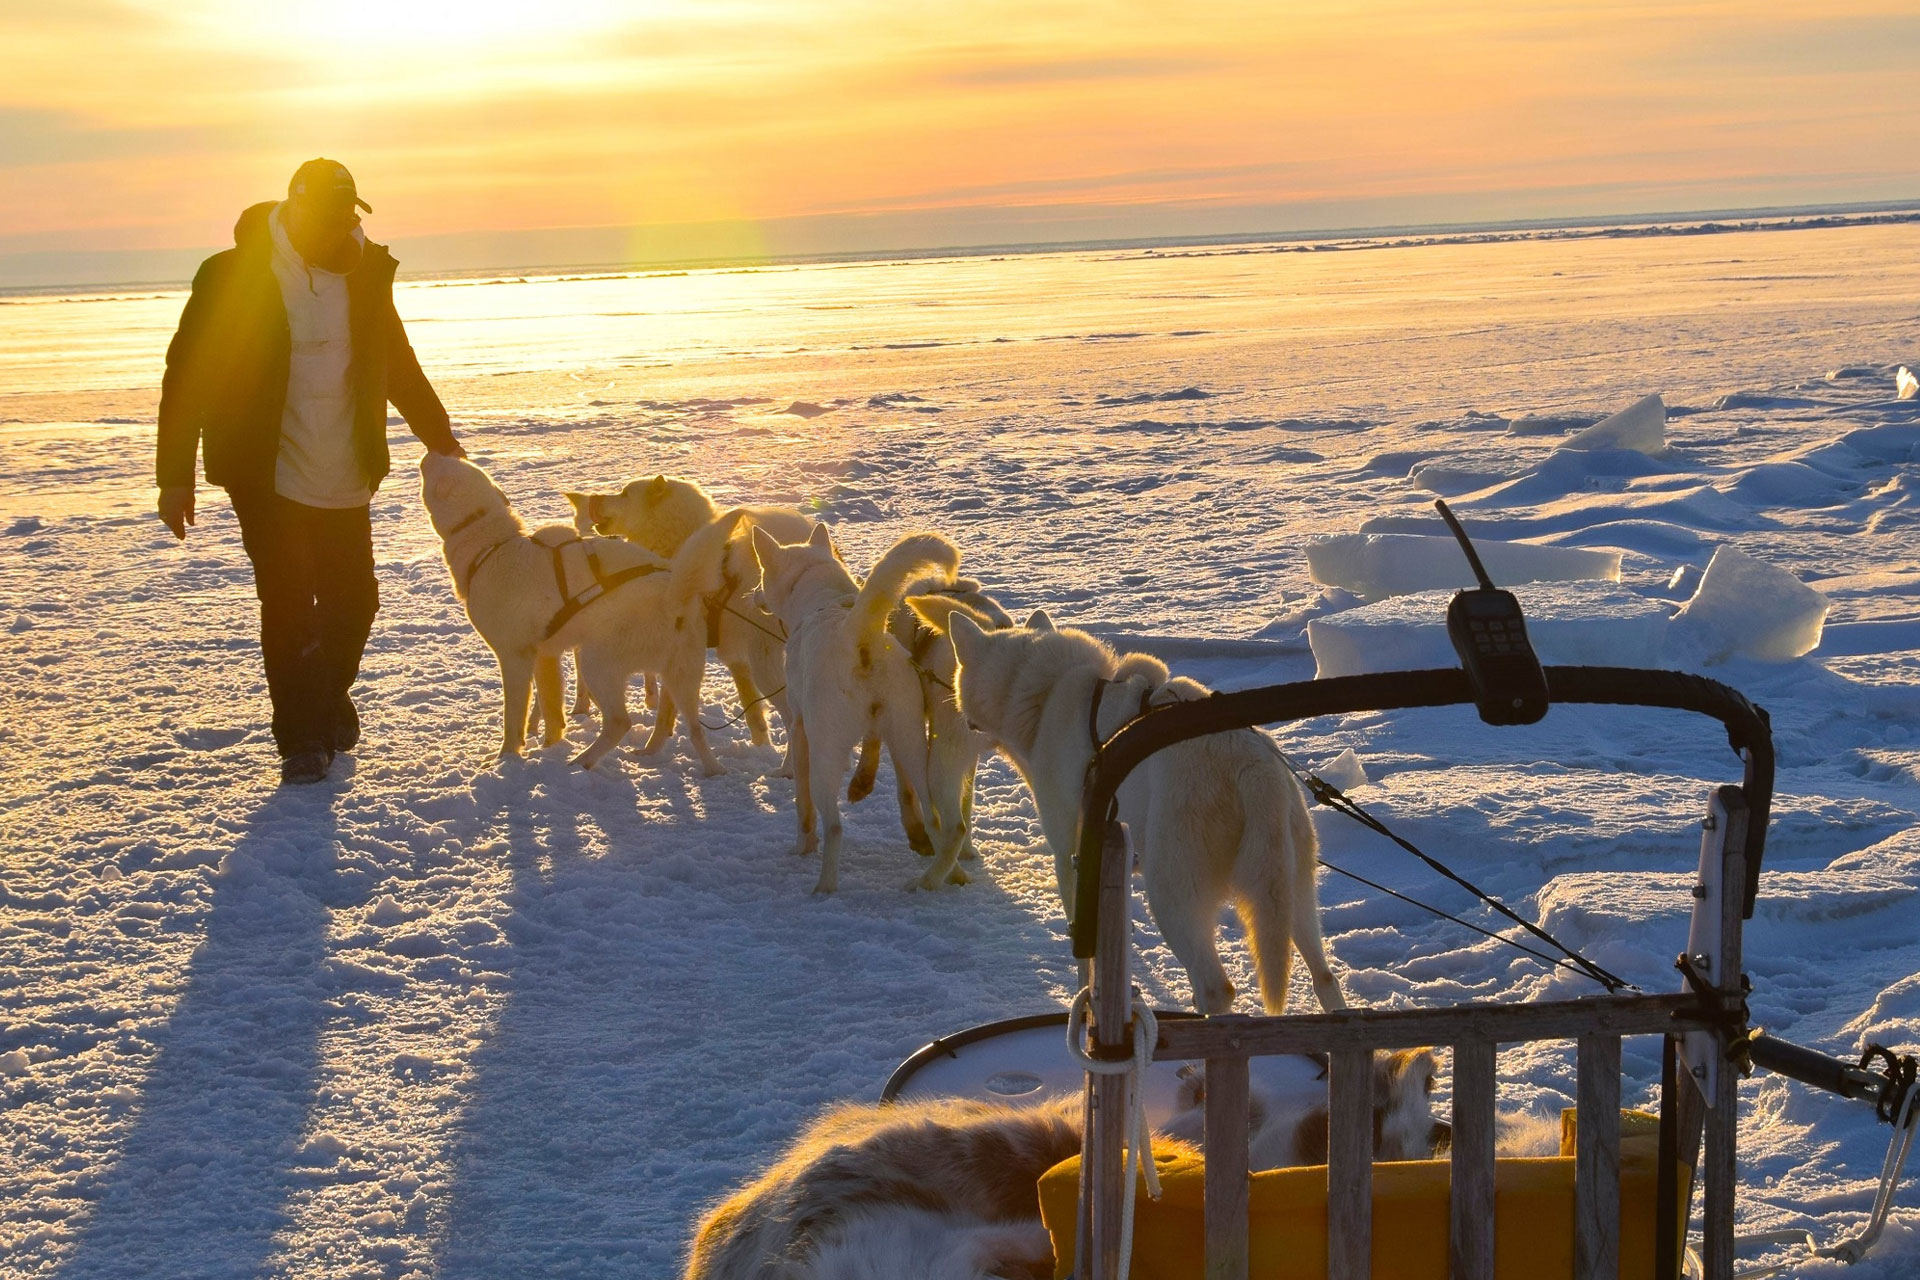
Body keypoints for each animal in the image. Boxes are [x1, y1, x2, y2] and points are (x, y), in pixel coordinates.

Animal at [422, 452, 741, 771]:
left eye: (440, 465)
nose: (433, 451)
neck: (491, 545)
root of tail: (673, 596)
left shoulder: (514, 657)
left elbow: (514, 718)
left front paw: (506, 758)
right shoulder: (545, 655)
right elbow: (550, 710)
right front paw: (549, 745)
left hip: (596, 661)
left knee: (620, 721)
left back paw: (581, 761)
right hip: (679, 676)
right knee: (692, 727)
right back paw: (709, 769)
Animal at [564, 475, 814, 767]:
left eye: (625, 493)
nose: (594, 497)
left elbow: (664, 713)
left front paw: (650, 750)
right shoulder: (732, 660)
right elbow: (753, 714)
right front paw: (761, 744)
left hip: (765, 663)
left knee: (794, 718)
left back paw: (787, 769)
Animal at [744, 525, 960, 898]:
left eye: (760, 574)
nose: (755, 595)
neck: (827, 601)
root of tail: (858, 634)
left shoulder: (800, 732)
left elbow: (803, 809)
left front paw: (802, 847)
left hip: (826, 758)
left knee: (834, 827)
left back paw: (825, 887)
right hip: (912, 745)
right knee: (935, 819)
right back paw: (948, 874)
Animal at [917, 610, 1351, 1020]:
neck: (1047, 691)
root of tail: (1253, 766)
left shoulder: (1070, 853)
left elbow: (1083, 950)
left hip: (1171, 894)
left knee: (1217, 987)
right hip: (1290, 893)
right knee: (1323, 975)